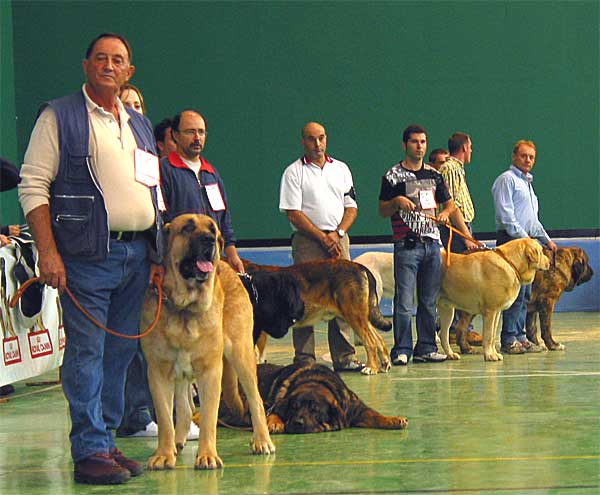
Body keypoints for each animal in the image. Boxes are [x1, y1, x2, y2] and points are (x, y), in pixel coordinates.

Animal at [141, 215, 274, 470]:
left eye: (212, 229)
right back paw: (178, 441)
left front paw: (207, 455)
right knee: (185, 408)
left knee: (256, 400)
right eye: (187, 228)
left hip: (241, 355)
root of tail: (229, 267)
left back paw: (262, 441)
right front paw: (164, 454)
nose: (209, 240)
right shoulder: (158, 373)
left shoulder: (211, 372)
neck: (185, 307)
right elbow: (165, 418)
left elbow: (210, 418)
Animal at [216, 364, 408, 434]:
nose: (298, 422)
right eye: (294, 407)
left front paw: (394, 420)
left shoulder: (356, 409)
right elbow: (274, 412)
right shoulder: (277, 404)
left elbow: (375, 415)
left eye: (315, 410)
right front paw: (275, 423)